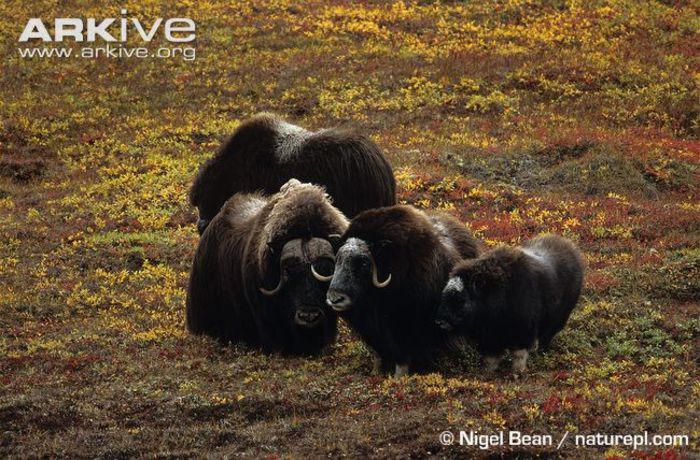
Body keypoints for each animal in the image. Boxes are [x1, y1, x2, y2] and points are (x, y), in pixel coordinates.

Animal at [324, 206, 482, 378]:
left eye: (364, 262)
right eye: (338, 259)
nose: (335, 298)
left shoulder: (403, 326)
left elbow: (402, 356)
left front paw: (398, 378)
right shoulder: (371, 331)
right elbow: (378, 353)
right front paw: (375, 373)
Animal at [438, 235, 584, 372]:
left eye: (462, 299)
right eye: (444, 294)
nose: (440, 321)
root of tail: (572, 248)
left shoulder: (523, 329)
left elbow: (519, 353)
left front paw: (517, 371)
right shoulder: (489, 335)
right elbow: (491, 355)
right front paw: (488, 370)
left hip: (559, 316)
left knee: (547, 334)